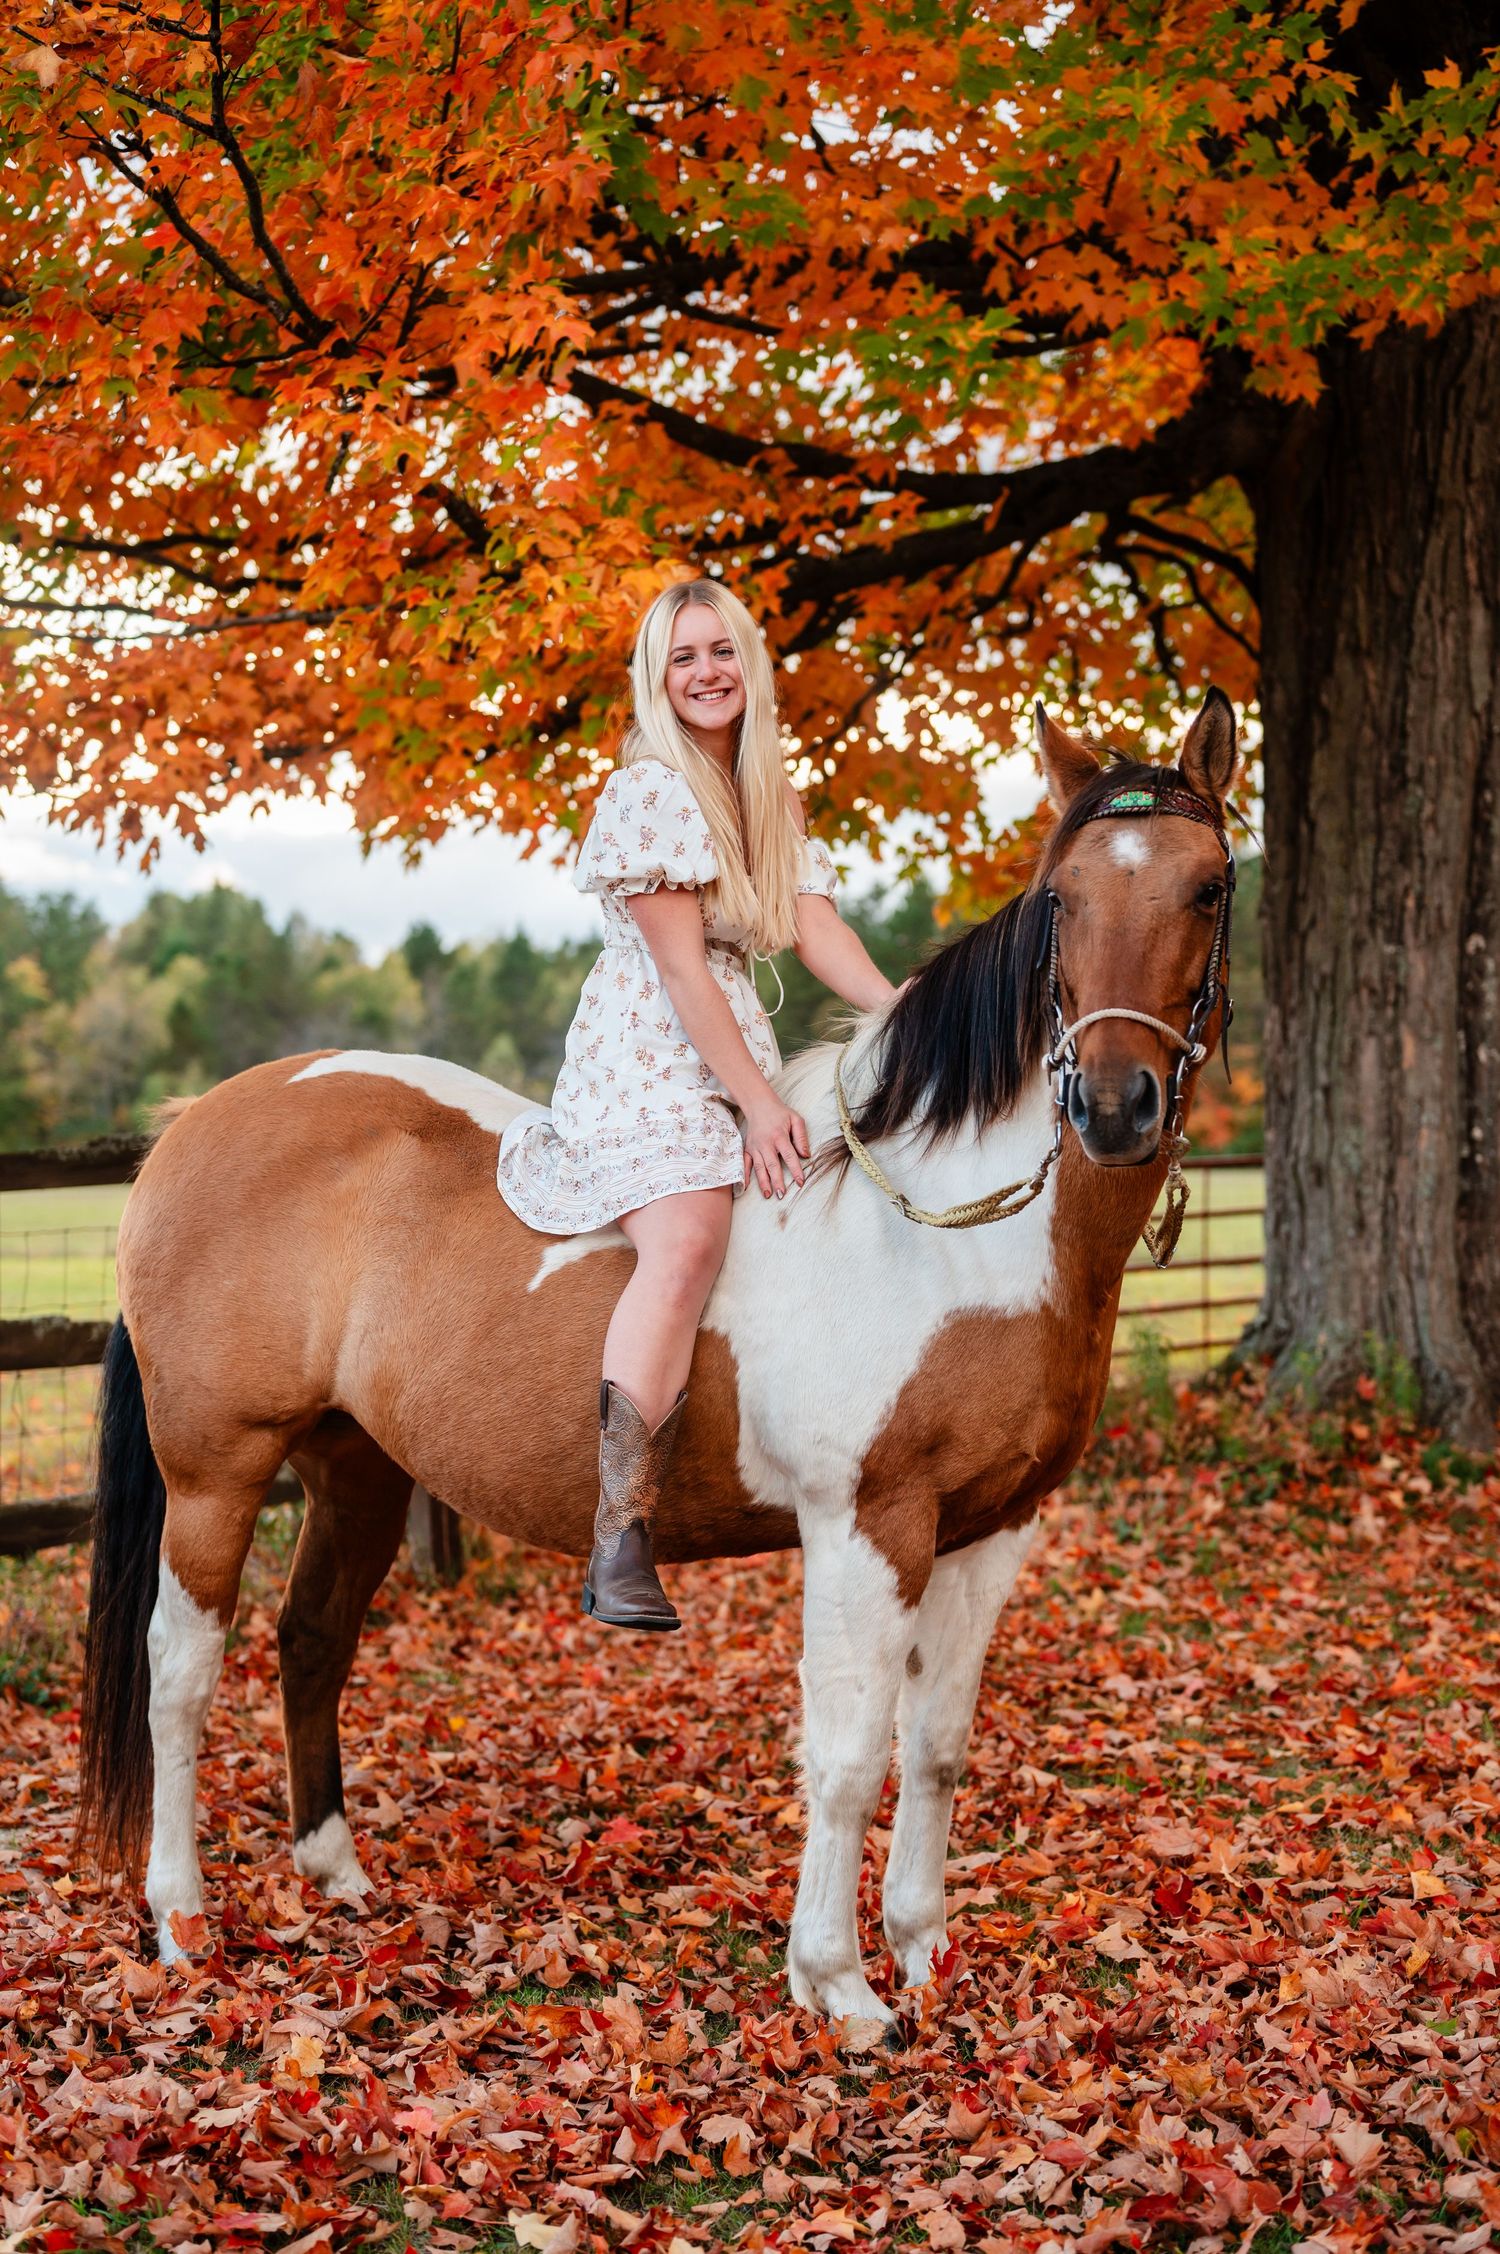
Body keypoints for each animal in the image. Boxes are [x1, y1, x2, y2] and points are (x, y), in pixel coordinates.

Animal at [75, 693, 1239, 2033]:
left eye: (1209, 885)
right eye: (1063, 897)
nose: (1115, 1104)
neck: (938, 1227)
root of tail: (192, 1125)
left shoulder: (993, 1528)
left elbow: (938, 1744)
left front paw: (922, 1949)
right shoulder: (868, 1524)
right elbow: (848, 1753)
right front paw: (838, 1983)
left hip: (355, 1468)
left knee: (312, 1637)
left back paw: (337, 1875)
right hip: (214, 1473)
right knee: (178, 1669)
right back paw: (180, 1917)